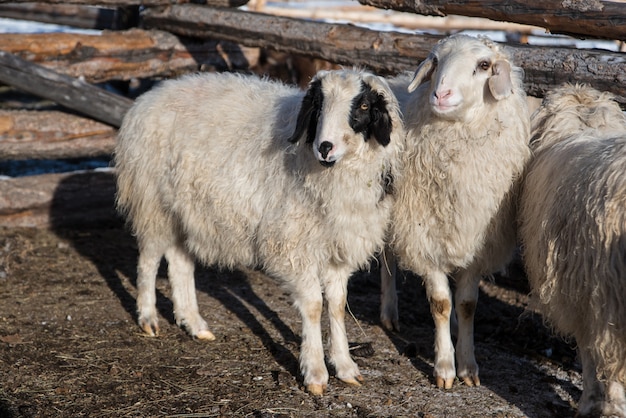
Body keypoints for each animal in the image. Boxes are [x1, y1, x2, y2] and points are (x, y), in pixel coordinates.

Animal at [114, 68, 402, 396]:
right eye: (318, 104)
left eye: (363, 106)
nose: (325, 147)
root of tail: (149, 97)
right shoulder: (293, 245)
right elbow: (314, 306)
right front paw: (315, 372)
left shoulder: (337, 247)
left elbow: (338, 306)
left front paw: (345, 366)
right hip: (153, 202)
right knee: (149, 260)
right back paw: (148, 318)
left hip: (187, 212)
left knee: (179, 262)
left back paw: (194, 323)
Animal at [382, 35, 528, 388]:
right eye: (435, 61)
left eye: (484, 65)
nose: (441, 95)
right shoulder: (423, 237)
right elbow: (440, 303)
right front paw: (445, 367)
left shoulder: (475, 242)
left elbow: (466, 305)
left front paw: (468, 365)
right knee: (386, 259)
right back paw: (389, 312)